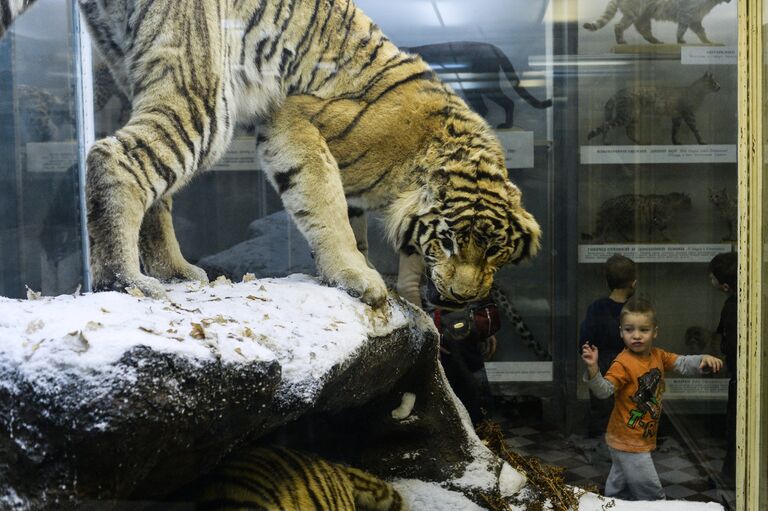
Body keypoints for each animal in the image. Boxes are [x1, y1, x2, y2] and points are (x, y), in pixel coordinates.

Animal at [1, 0, 540, 308]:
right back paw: (126, 282)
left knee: (157, 186)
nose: (464, 297)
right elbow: (325, 204)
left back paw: (175, 272)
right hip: (204, 94)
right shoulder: (291, 118)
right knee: (116, 157)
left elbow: (349, 219)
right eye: (447, 243)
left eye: (494, 250)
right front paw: (359, 278)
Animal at [584, 0, 728, 45]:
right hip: (633, 12)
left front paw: (708, 42)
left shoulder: (694, 18)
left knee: (643, 29)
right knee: (619, 26)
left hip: (643, 15)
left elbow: (701, 32)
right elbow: (683, 29)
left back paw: (654, 40)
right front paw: (680, 40)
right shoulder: (687, 14)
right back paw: (620, 40)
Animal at [588, 71, 720, 145]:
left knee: (627, 130)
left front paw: (675, 142)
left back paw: (641, 142)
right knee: (606, 124)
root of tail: (618, 92)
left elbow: (675, 131)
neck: (697, 92)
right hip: (625, 116)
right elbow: (696, 129)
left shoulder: (677, 117)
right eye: (714, 83)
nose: (720, 87)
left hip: (633, 116)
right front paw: (702, 141)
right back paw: (606, 142)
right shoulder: (689, 114)